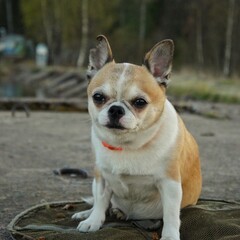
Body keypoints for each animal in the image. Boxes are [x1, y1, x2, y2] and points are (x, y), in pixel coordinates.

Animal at [72, 35, 202, 240]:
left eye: (140, 102)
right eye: (98, 97)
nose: (116, 109)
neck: (127, 144)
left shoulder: (170, 184)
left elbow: (171, 215)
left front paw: (170, 236)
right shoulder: (101, 177)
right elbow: (101, 201)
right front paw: (93, 221)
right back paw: (89, 213)